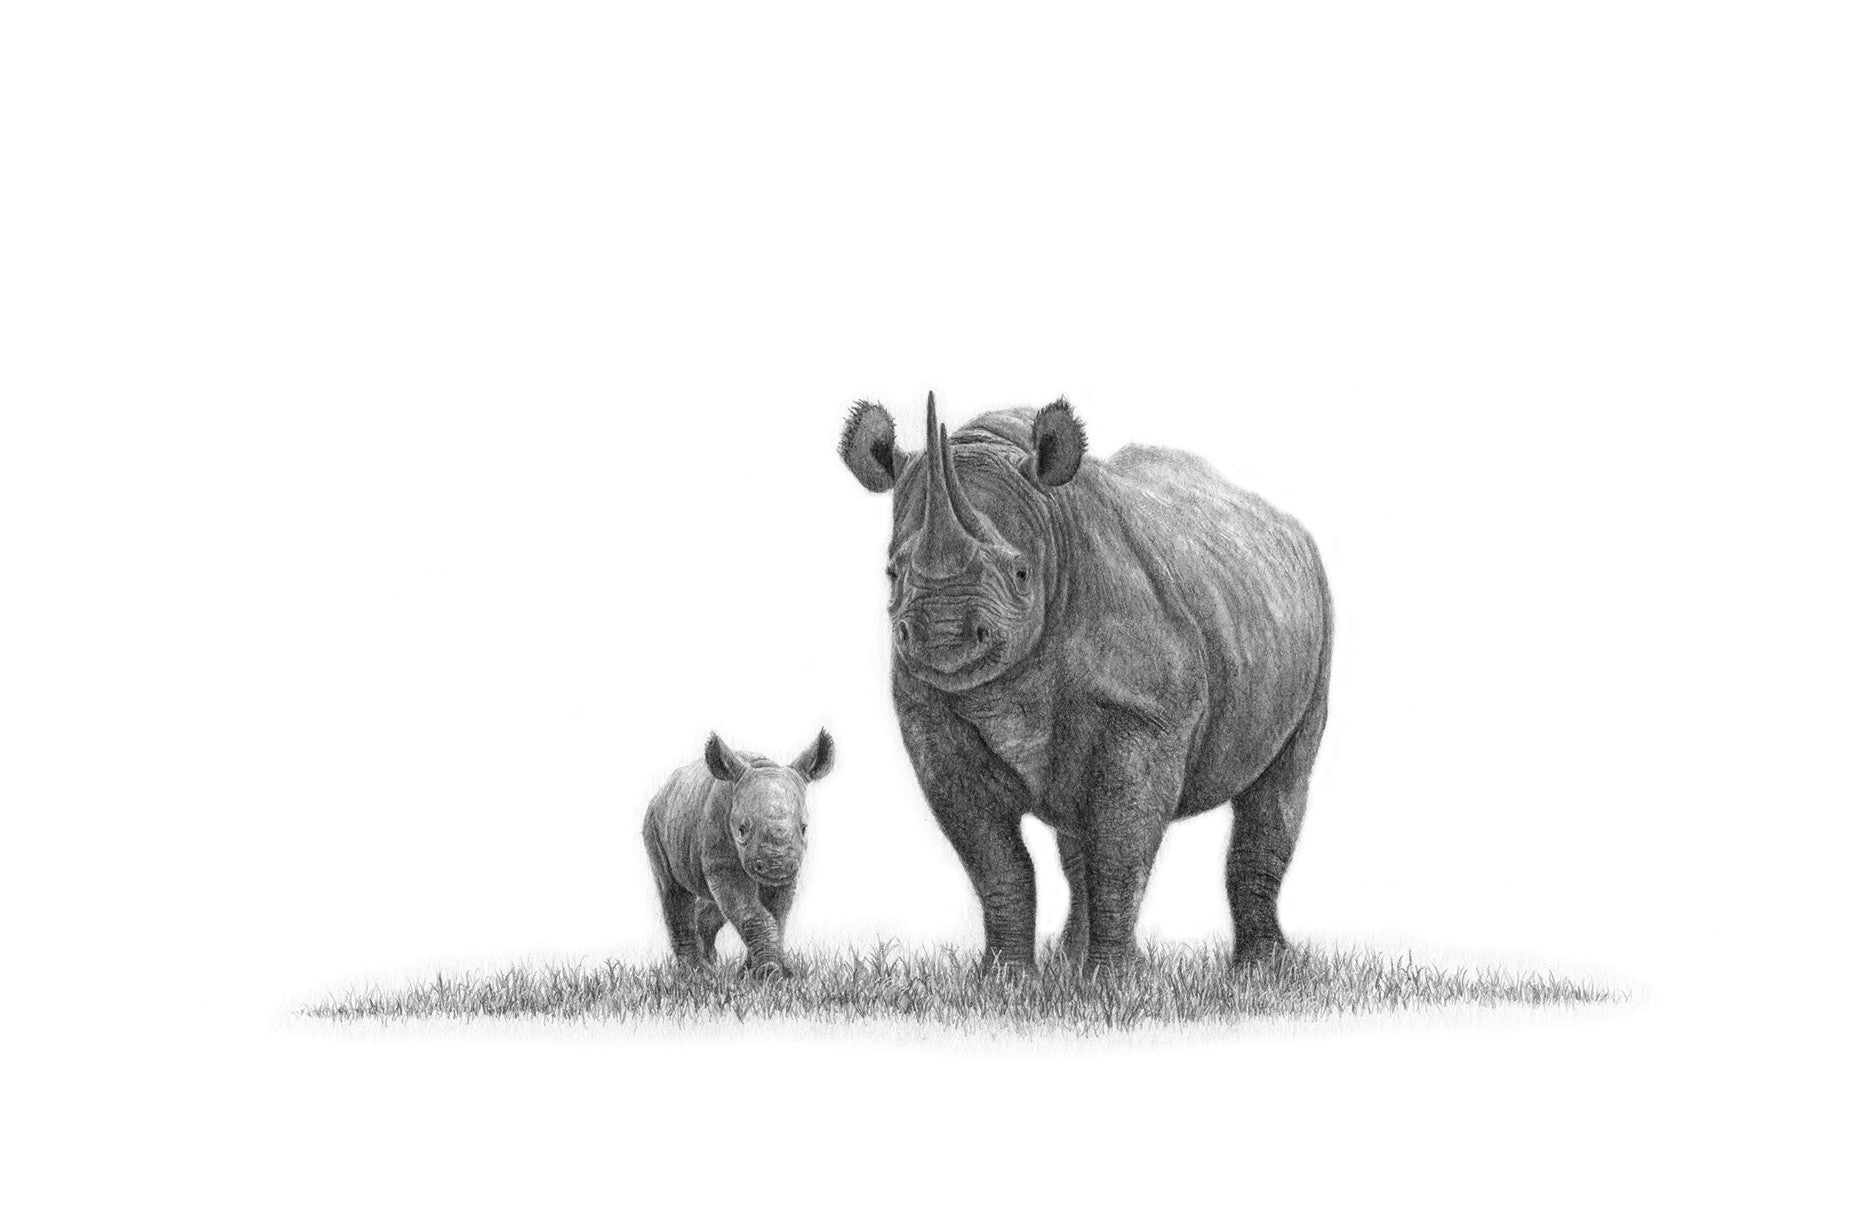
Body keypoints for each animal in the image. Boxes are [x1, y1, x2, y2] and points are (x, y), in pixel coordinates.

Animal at [641, 731, 835, 976]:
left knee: (711, 903)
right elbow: (751, 913)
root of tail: (663, 790)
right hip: (653, 822)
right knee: (671, 889)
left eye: (804, 828)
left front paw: (755, 973)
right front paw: (768, 973)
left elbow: (777, 915)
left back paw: (709, 965)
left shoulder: (789, 872)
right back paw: (696, 974)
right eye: (742, 830)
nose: (776, 866)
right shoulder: (722, 859)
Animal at [837, 394, 1331, 971]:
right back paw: (1068, 964)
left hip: (1318, 605)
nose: (943, 635)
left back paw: (1262, 969)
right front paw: (1007, 978)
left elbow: (1120, 850)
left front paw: (1115, 980)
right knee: (1076, 831)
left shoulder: (1147, 714)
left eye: (1022, 573)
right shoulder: (931, 721)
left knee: (1281, 782)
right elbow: (995, 861)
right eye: (891, 574)